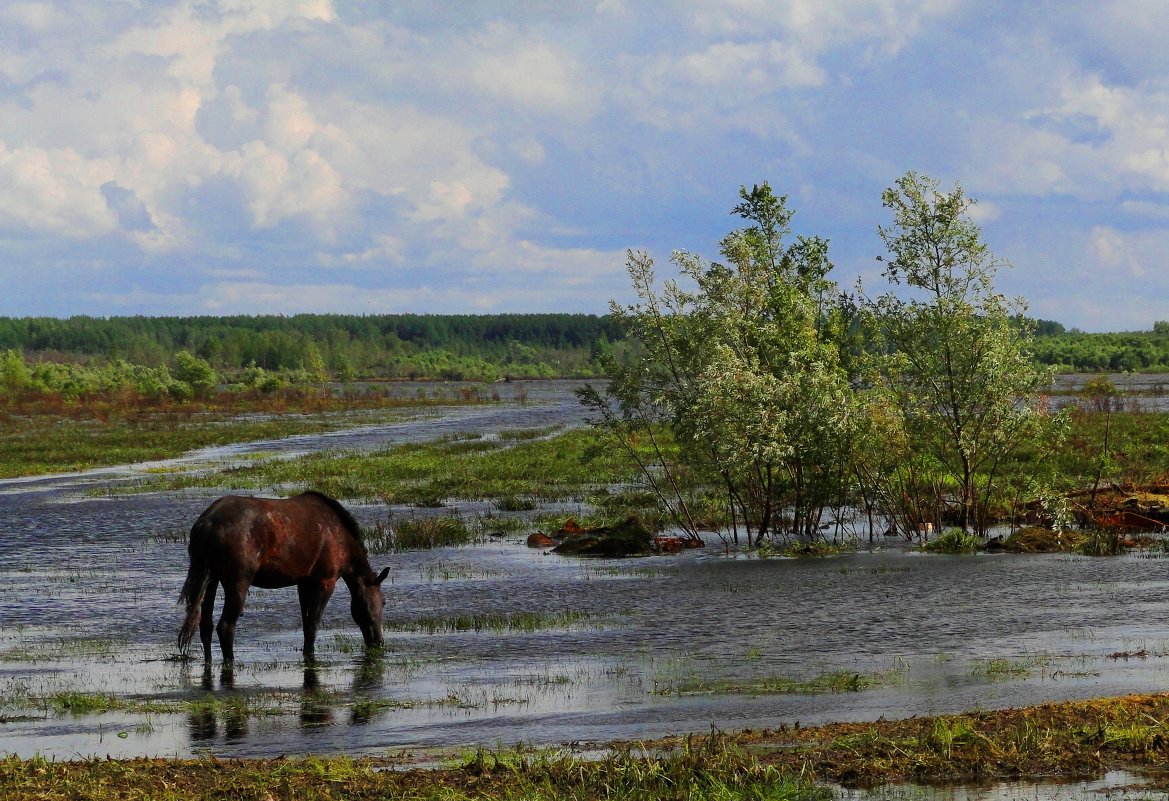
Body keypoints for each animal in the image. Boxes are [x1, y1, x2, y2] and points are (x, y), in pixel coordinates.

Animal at [175, 491, 390, 664]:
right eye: (382, 601)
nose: (379, 642)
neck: (339, 536)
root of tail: (208, 523)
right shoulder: (324, 582)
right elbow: (313, 624)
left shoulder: (304, 583)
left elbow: (306, 624)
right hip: (237, 583)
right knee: (226, 627)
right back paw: (230, 662)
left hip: (211, 581)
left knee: (205, 626)